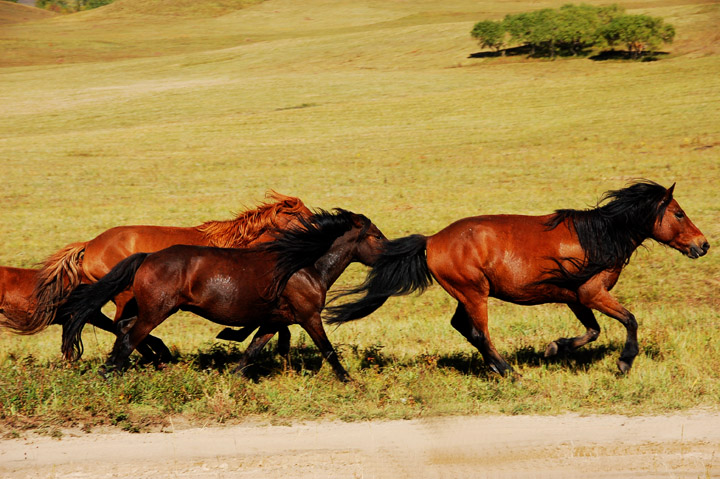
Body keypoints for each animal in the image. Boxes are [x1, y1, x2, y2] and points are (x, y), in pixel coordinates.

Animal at [60, 211, 388, 382]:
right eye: (376, 235)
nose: (391, 252)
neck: (303, 265)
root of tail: (147, 257)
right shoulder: (309, 316)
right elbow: (328, 349)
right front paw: (348, 380)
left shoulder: (274, 320)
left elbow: (253, 349)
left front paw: (234, 373)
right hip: (156, 311)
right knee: (130, 337)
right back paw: (114, 373)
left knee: (124, 331)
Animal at [326, 180, 708, 376]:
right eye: (678, 213)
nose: (702, 245)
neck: (598, 236)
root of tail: (432, 240)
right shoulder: (592, 293)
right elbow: (629, 320)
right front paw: (624, 362)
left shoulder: (575, 297)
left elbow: (592, 331)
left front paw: (555, 347)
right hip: (474, 293)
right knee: (479, 333)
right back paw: (508, 371)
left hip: (468, 294)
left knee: (463, 327)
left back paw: (498, 368)